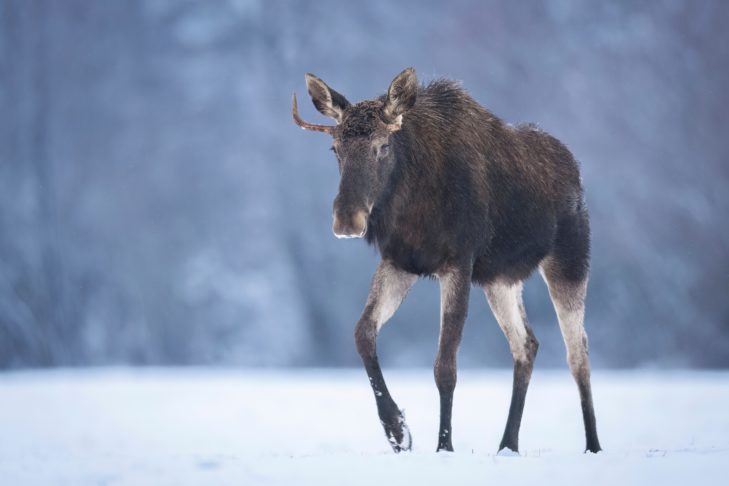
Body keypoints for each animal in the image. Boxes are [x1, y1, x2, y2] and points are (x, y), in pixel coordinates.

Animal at [292, 67, 601, 454]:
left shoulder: (458, 262)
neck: (412, 201)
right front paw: (397, 431)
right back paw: (508, 444)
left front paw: (444, 446)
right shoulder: (401, 261)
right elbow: (363, 333)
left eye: (383, 146)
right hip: (500, 279)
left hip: (569, 260)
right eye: (335, 148)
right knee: (526, 344)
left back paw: (592, 446)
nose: (348, 219)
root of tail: (576, 170)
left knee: (579, 353)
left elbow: (445, 367)